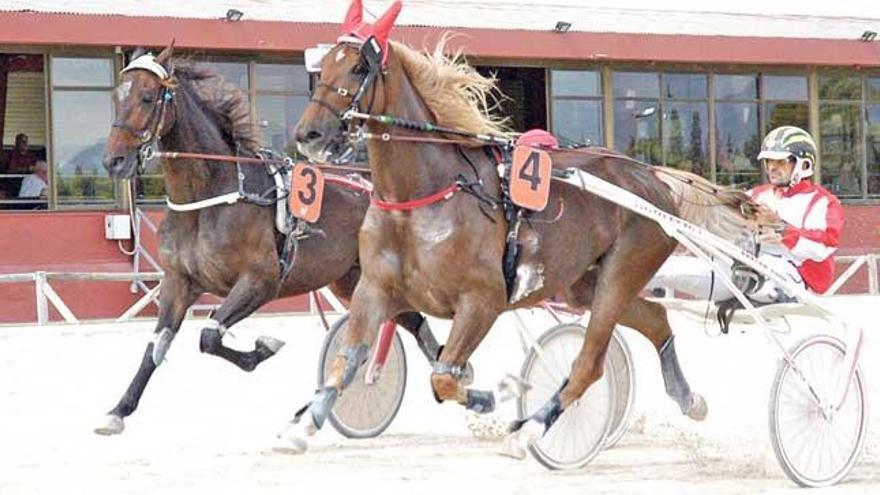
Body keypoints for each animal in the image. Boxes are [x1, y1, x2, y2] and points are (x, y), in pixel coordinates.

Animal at [96, 44, 446, 436]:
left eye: (147, 96)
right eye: (116, 96)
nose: (114, 160)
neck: (213, 195)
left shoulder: (261, 280)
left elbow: (210, 335)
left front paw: (264, 347)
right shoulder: (178, 281)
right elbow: (157, 346)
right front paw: (119, 409)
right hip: (352, 278)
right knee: (410, 322)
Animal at [278, 0, 768, 456]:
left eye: (359, 66)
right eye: (321, 68)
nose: (309, 135)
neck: (422, 198)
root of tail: (653, 179)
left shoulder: (483, 300)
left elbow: (444, 378)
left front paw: (494, 394)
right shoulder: (375, 289)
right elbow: (348, 362)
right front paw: (302, 425)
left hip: (622, 271)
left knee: (589, 363)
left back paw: (529, 429)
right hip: (583, 284)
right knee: (657, 318)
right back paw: (688, 398)